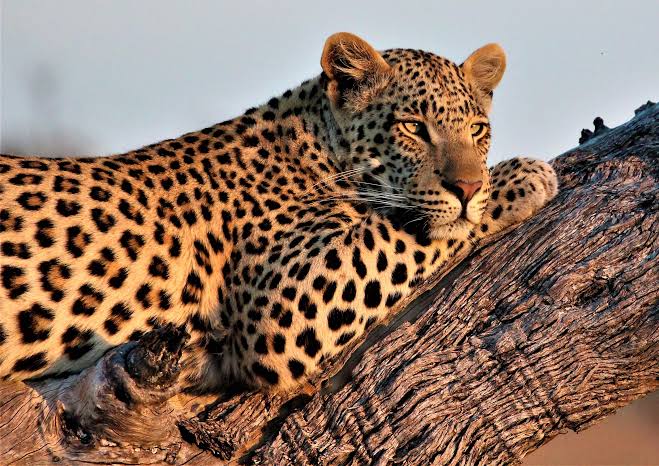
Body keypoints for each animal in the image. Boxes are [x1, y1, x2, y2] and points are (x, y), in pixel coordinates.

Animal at [0, 32, 557, 393]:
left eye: (478, 130)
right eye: (414, 127)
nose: (468, 185)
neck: (313, 147)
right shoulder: (281, 303)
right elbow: (405, 229)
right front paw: (523, 176)